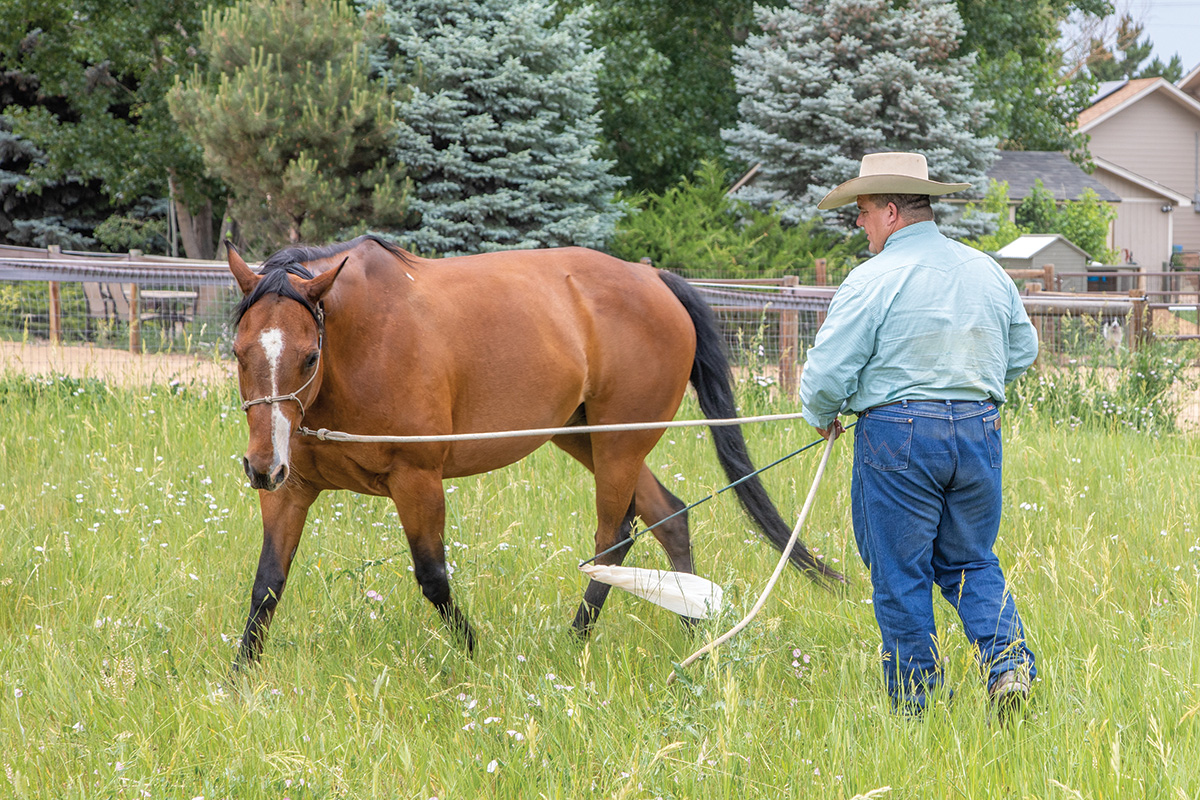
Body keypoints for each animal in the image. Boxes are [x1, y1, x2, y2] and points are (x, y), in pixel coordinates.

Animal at [226, 235, 844, 666]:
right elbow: (267, 583)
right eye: (237, 351)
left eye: (309, 356)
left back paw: (576, 640)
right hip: (585, 438)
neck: (361, 344)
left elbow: (434, 578)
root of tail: (653, 278)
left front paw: (475, 655)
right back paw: (692, 624)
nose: (260, 467)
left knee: (614, 539)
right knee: (669, 517)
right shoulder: (292, 489)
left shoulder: (417, 479)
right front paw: (241, 678)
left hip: (618, 445)